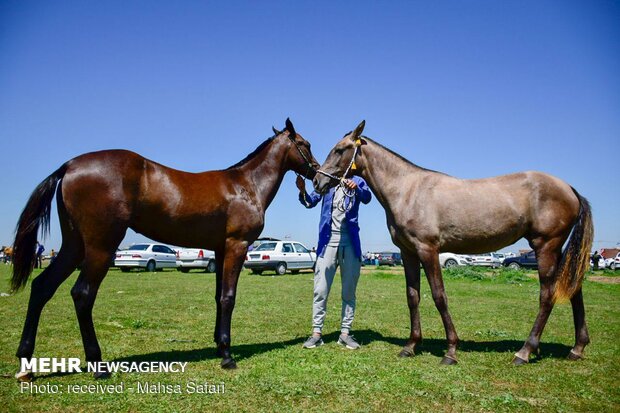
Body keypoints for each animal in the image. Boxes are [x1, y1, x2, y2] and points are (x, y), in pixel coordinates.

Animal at [11, 118, 318, 376]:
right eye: (305, 144)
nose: (317, 173)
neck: (245, 186)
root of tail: (70, 165)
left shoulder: (220, 250)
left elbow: (218, 297)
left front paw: (219, 345)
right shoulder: (236, 246)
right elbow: (228, 298)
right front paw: (227, 356)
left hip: (74, 246)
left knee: (42, 287)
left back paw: (26, 364)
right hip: (100, 247)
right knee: (82, 295)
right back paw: (97, 364)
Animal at [314, 121, 592, 364]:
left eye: (339, 149)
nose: (317, 181)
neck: (407, 190)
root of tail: (569, 188)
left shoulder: (428, 250)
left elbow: (439, 296)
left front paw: (450, 351)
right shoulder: (408, 252)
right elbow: (412, 296)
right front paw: (411, 346)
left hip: (546, 246)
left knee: (548, 296)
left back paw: (524, 352)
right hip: (558, 251)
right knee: (574, 291)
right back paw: (576, 348)